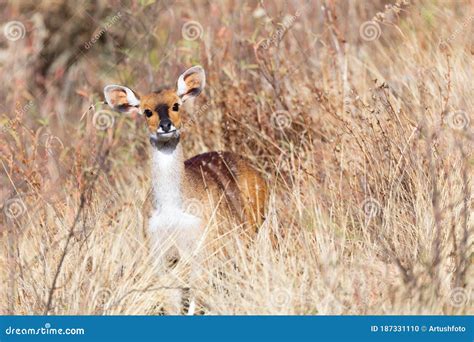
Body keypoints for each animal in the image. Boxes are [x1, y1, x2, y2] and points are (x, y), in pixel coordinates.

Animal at [103, 65, 266, 312]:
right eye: (147, 111)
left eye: (176, 105)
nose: (166, 125)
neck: (173, 211)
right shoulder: (159, 253)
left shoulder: (203, 247)